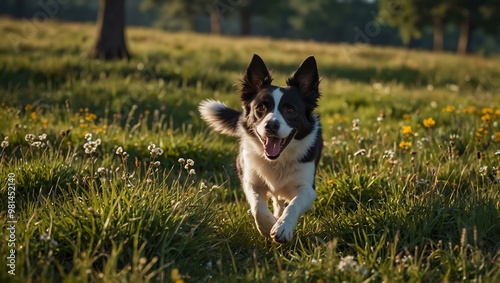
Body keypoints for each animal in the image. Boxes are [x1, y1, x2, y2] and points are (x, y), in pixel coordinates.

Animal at [197, 55, 322, 244]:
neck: (278, 160)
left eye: (290, 110)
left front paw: (282, 227)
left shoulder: (307, 187)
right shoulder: (250, 180)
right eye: (260, 108)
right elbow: (257, 206)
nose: (271, 125)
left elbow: (293, 205)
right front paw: (268, 225)